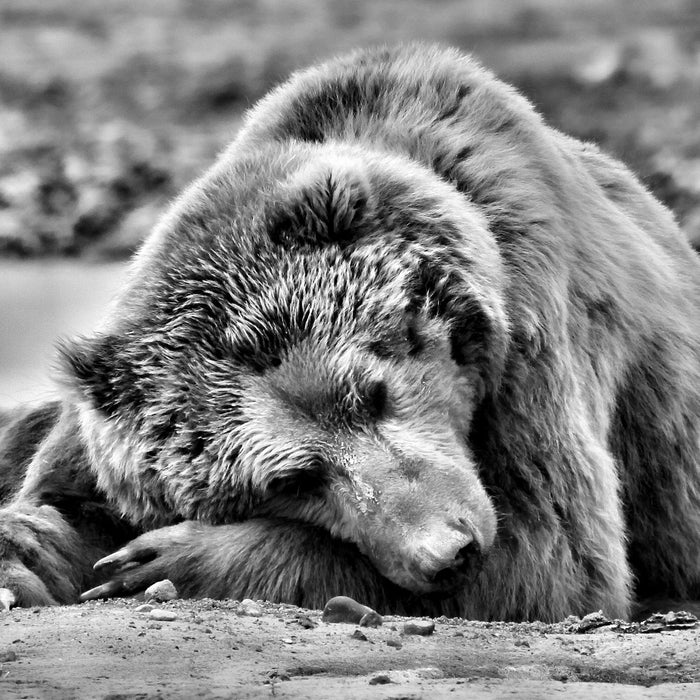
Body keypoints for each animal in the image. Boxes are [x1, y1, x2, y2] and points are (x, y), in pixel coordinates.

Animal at [1, 45, 700, 624]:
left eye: (375, 392)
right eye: (291, 480)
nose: (447, 551)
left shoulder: (534, 329)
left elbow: (552, 556)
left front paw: (166, 557)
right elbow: (65, 496)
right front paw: (29, 554)